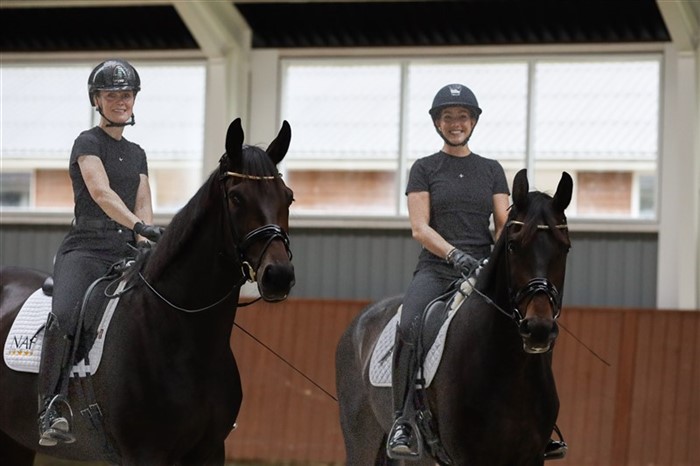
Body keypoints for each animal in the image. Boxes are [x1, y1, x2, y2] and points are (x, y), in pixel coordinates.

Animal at [0, 118, 296, 464]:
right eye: (237, 198)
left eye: (288, 197)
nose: (278, 276)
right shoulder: (145, 453)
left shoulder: (211, 449)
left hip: (14, 441)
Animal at [336, 169, 572, 464]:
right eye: (513, 246)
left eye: (565, 248)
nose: (538, 329)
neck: (509, 369)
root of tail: (360, 321)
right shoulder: (468, 457)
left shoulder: (530, 457)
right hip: (363, 444)